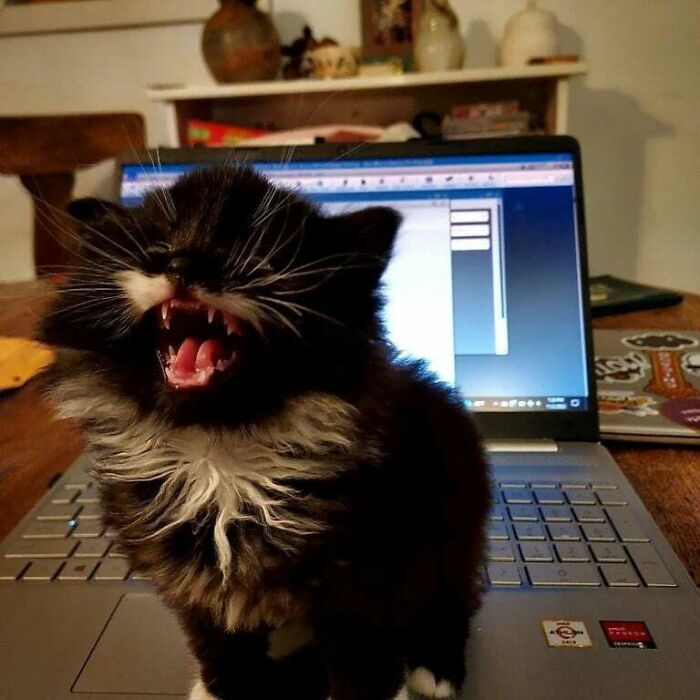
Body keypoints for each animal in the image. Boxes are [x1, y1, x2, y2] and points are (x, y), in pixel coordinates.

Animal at [35, 165, 490, 700]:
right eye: (157, 246)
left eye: (255, 251)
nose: (182, 263)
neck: (220, 454)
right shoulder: (190, 586)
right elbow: (219, 645)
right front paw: (221, 689)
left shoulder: (373, 578)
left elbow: (364, 668)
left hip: (452, 524)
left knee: (450, 601)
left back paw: (435, 668)